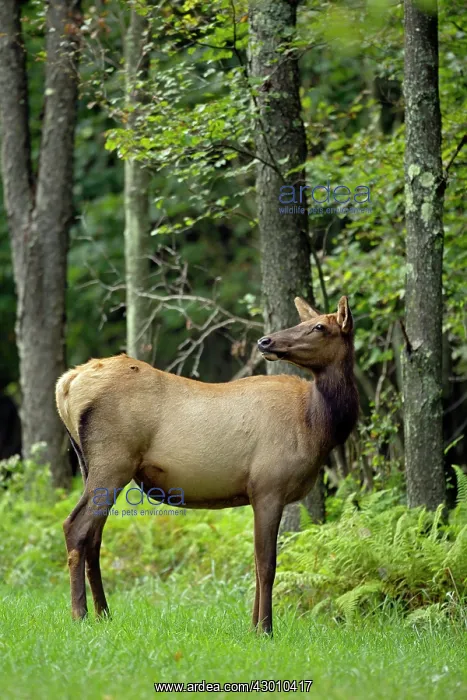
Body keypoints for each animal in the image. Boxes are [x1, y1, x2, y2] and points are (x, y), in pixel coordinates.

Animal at [56, 295, 359, 635]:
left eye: (319, 326)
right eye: (310, 323)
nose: (265, 340)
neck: (317, 426)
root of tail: (66, 384)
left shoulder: (258, 492)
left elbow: (255, 563)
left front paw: (253, 626)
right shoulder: (269, 485)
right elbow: (267, 563)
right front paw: (265, 629)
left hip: (88, 464)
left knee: (94, 535)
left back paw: (104, 613)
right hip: (113, 460)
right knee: (76, 526)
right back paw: (79, 614)